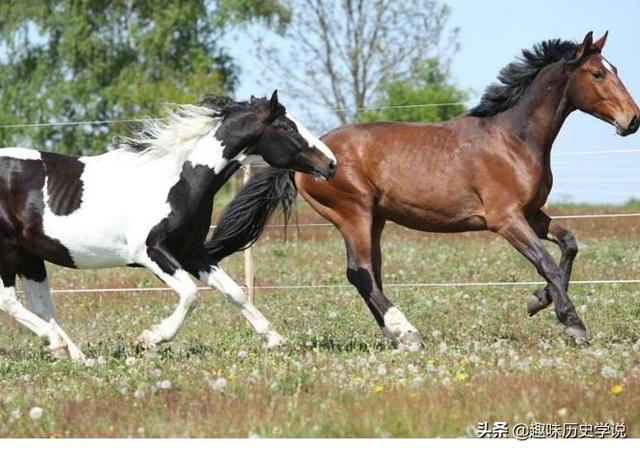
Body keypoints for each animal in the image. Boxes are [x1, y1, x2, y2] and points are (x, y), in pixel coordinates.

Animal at [0, 91, 338, 360]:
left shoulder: (192, 253)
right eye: (288, 127)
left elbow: (235, 292)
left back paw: (76, 356)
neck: (180, 180)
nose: (331, 164)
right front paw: (149, 339)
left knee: (42, 305)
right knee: (9, 301)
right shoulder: (150, 252)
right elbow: (190, 294)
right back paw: (57, 344)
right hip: (9, 252)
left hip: (31, 256)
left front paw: (275, 339)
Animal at [210, 32, 640, 350]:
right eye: (598, 74)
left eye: (613, 69)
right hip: (354, 214)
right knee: (359, 272)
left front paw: (539, 301)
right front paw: (573, 324)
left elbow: (568, 244)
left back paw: (395, 334)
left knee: (371, 274)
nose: (632, 119)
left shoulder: (532, 214)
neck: (512, 139)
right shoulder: (505, 220)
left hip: (375, 221)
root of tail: (314, 156)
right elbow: (546, 262)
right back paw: (409, 333)